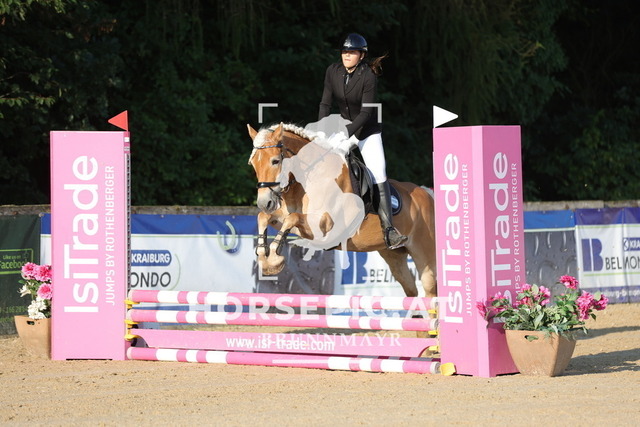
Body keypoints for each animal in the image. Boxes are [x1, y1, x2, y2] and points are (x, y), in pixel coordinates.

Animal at [247, 122, 437, 300]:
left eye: (275, 161)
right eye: (253, 164)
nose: (264, 202)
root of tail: (427, 193)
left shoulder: (324, 225)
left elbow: (291, 218)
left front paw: (273, 259)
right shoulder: (288, 218)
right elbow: (264, 217)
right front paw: (264, 258)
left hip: (425, 257)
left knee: (430, 292)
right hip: (394, 256)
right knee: (411, 291)